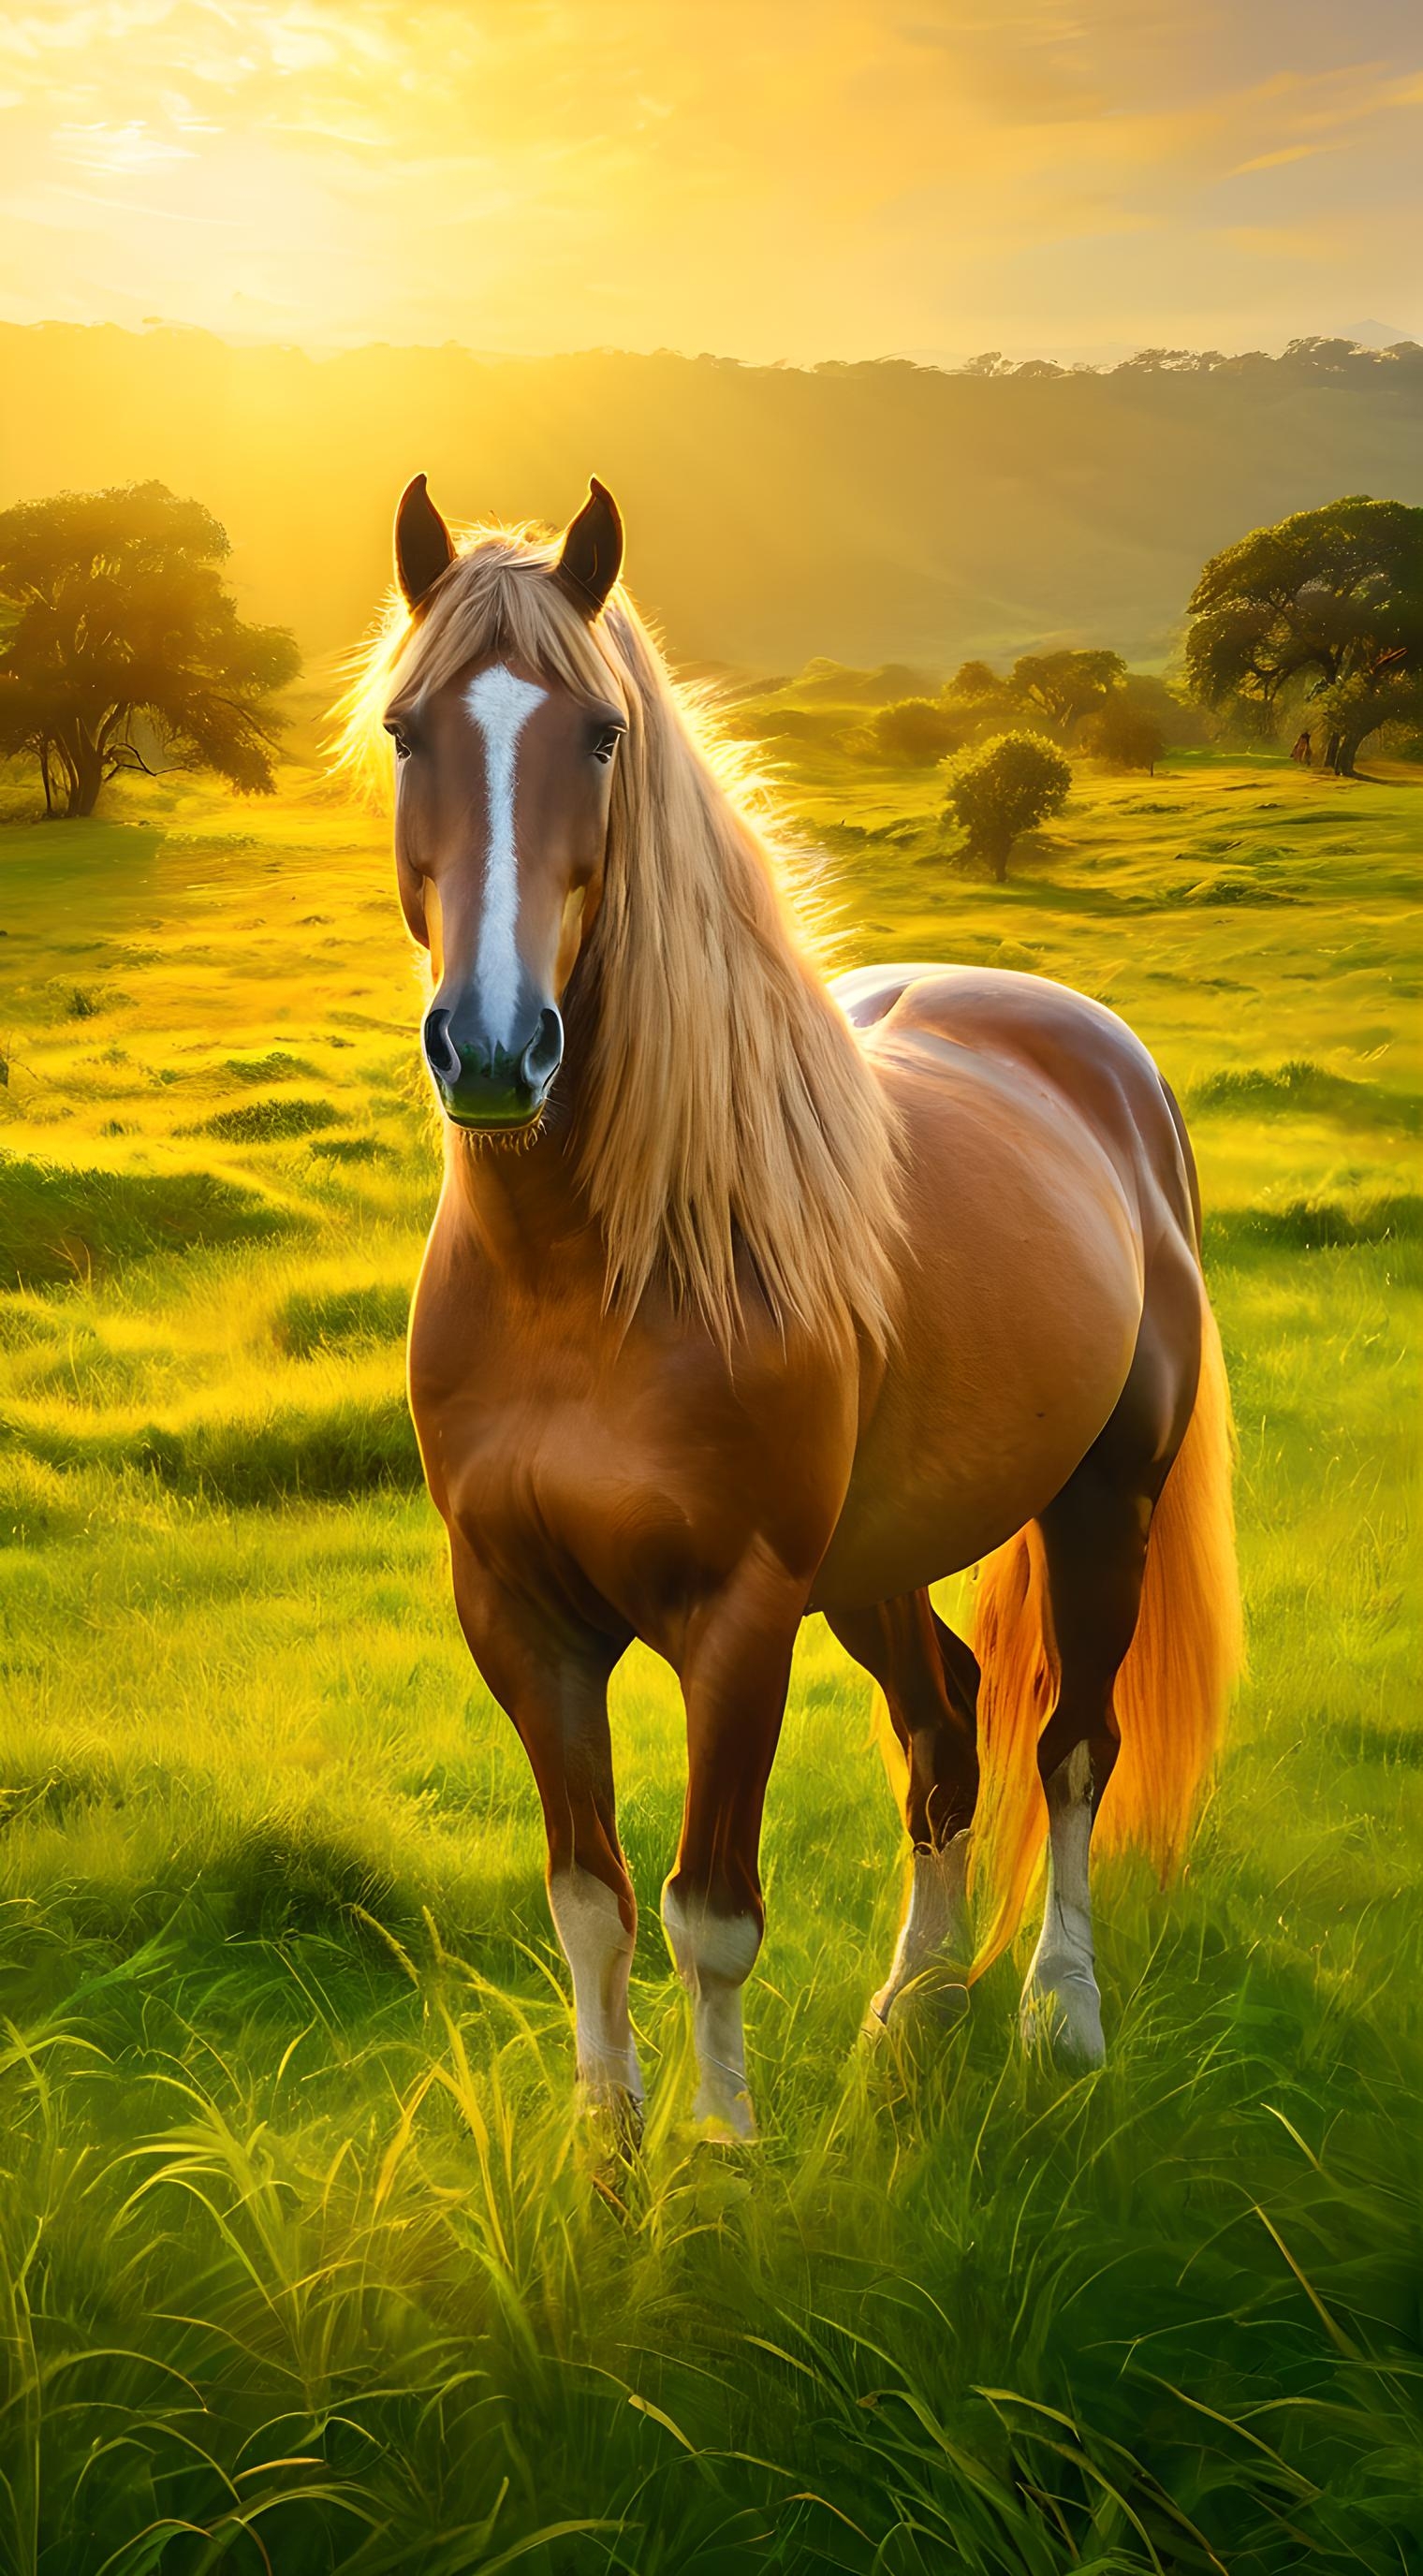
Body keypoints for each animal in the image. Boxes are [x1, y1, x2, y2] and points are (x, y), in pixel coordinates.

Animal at [337, 473, 1241, 2142]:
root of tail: (1101, 1057)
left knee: (1069, 1748)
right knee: (946, 1732)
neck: (588, 1285)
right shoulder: (520, 1617)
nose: (494, 1051)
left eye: (602, 735)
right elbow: (590, 1902)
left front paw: (723, 2165)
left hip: (1105, 1504)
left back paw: (1058, 2017)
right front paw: (609, 2155)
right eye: (408, 730)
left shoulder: (740, 1613)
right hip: (877, 1561)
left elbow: (711, 1913)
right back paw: (915, 2009)